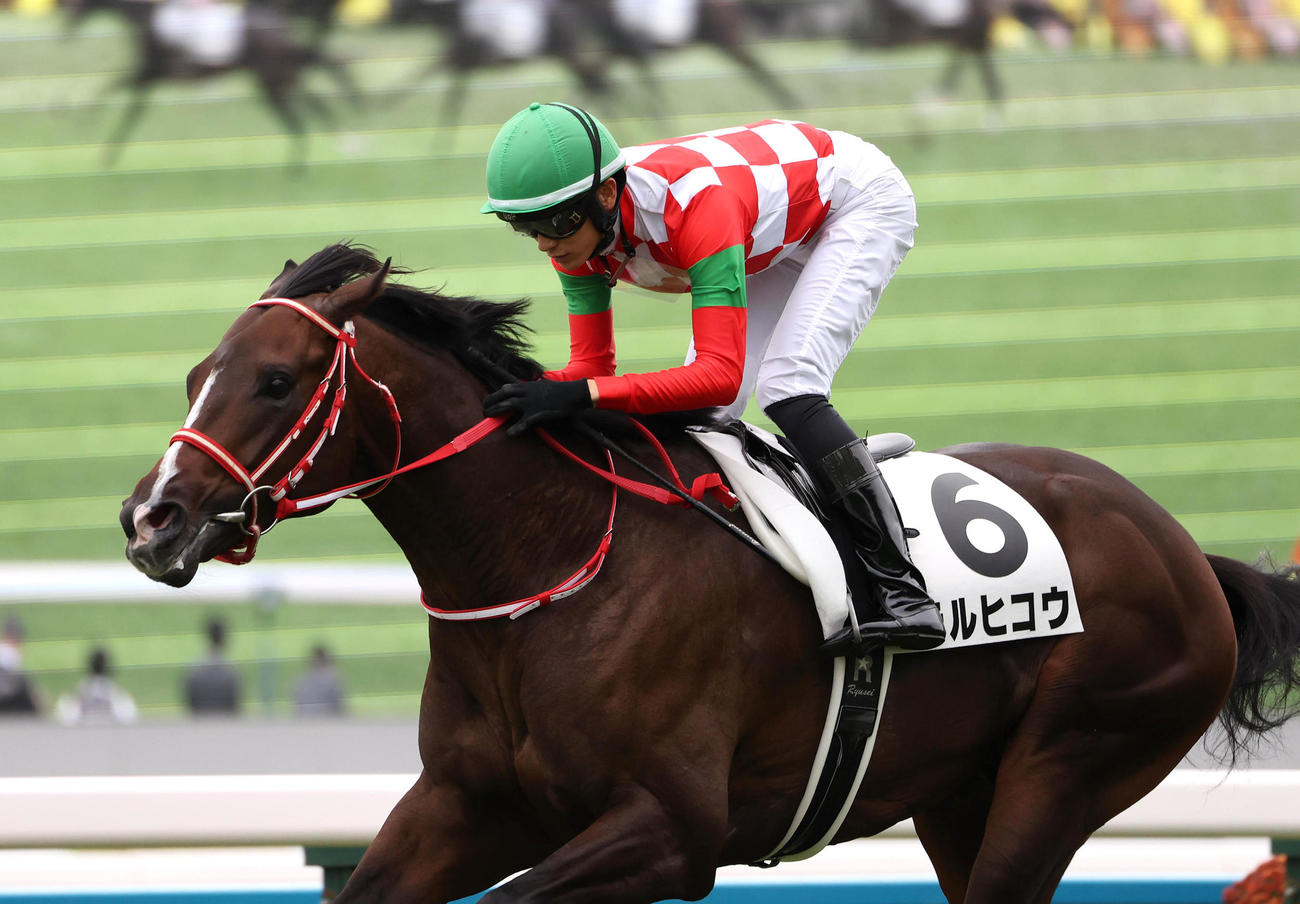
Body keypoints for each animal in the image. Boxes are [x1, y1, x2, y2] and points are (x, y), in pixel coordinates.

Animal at [62, 0, 358, 169]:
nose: (67, 25)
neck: (148, 17)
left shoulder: (150, 73)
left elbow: (114, 91)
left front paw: (83, 123)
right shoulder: (150, 77)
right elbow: (129, 106)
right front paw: (106, 153)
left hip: (273, 84)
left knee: (302, 117)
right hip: (281, 79)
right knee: (315, 102)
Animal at [120, 243, 1300, 903]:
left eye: (275, 381)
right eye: (195, 374)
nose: (151, 518)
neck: (543, 564)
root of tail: (1185, 551)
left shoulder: (670, 831)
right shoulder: (469, 804)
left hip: (1073, 758)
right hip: (959, 794)